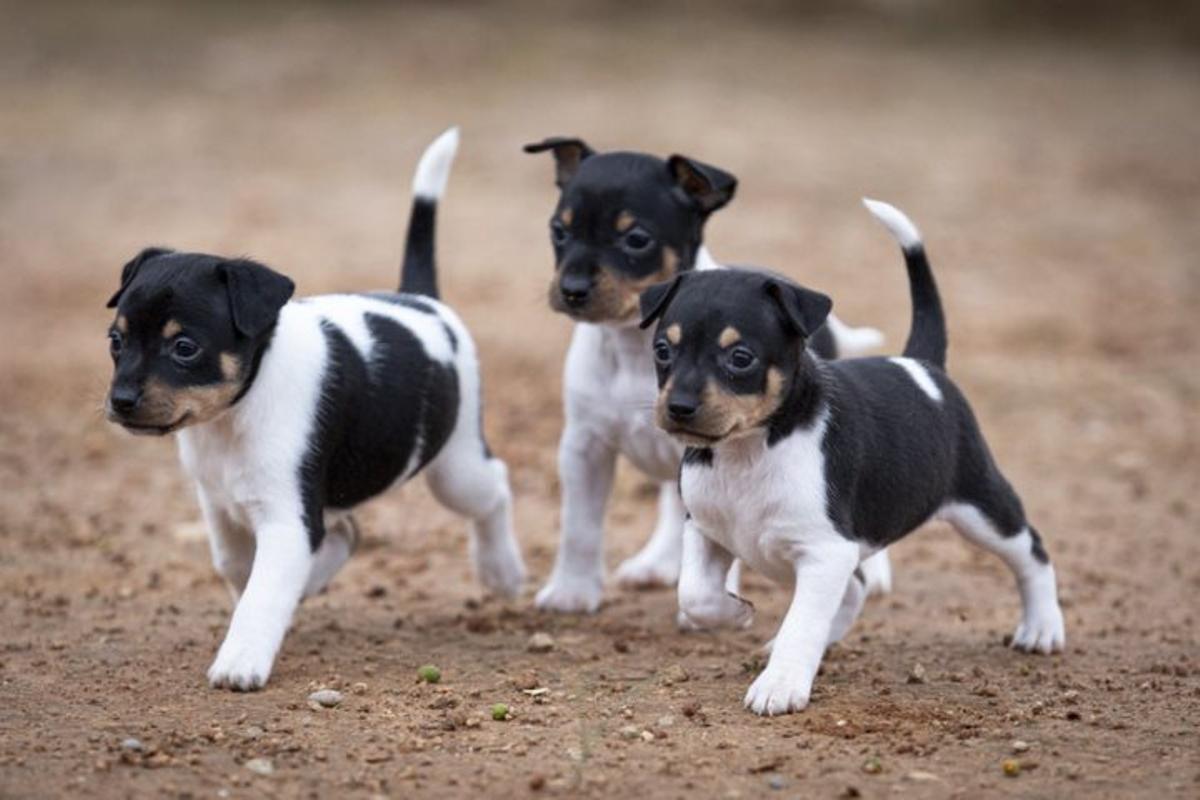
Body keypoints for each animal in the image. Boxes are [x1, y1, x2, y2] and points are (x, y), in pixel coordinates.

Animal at [105, 130, 528, 690]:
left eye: (185, 348)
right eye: (116, 340)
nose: (120, 402)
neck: (237, 412)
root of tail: (423, 301)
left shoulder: (287, 518)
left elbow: (261, 591)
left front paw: (241, 659)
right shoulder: (219, 503)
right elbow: (236, 565)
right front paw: (292, 590)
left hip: (456, 468)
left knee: (494, 487)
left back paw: (502, 570)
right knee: (348, 531)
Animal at [525, 137, 892, 614]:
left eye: (636, 239)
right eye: (559, 231)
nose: (571, 290)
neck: (631, 350)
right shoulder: (585, 446)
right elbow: (579, 527)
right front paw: (572, 592)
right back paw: (658, 563)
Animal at [643, 199, 1065, 714]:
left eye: (740, 357)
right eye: (663, 350)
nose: (679, 408)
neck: (750, 451)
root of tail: (922, 365)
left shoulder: (825, 552)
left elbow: (801, 624)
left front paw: (780, 683)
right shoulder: (706, 530)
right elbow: (694, 594)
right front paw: (736, 613)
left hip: (980, 508)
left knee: (1032, 552)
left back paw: (1042, 628)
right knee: (857, 589)